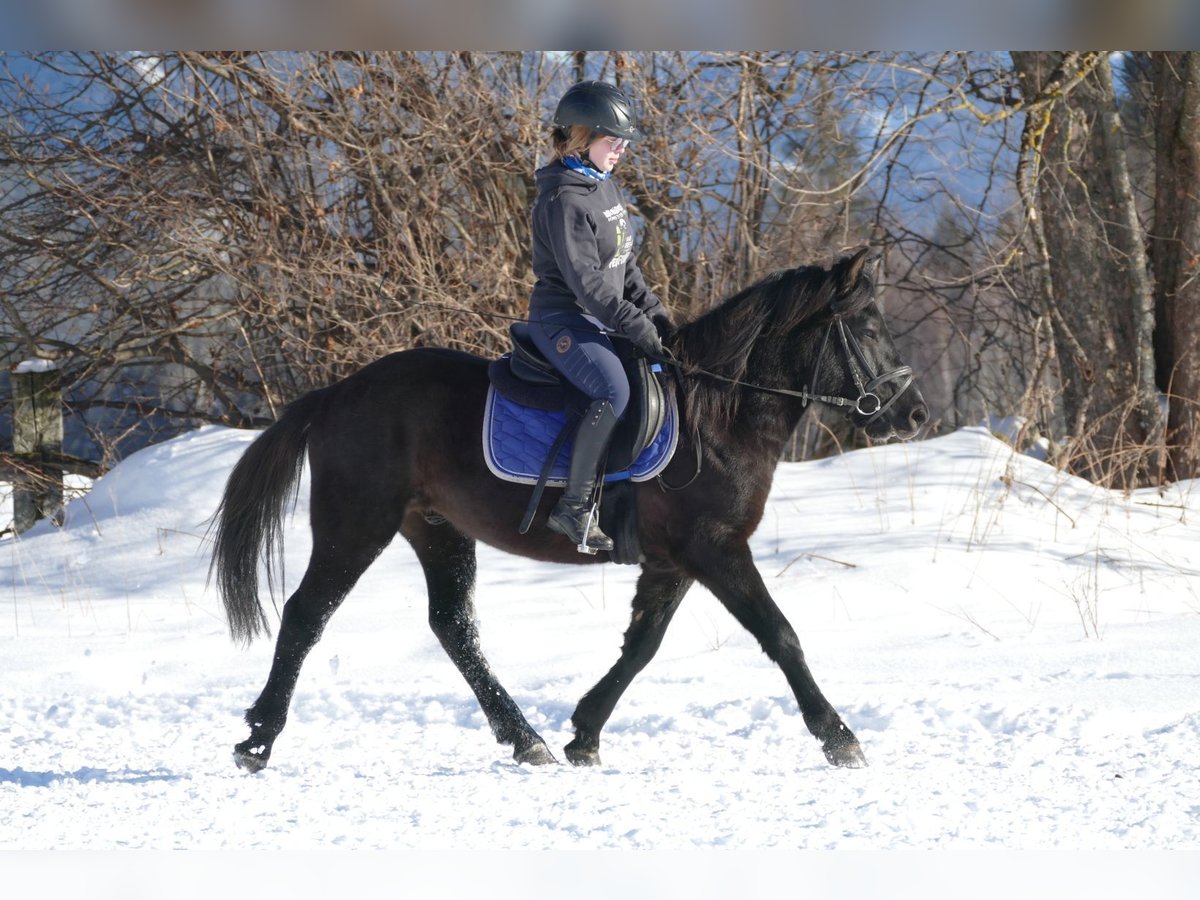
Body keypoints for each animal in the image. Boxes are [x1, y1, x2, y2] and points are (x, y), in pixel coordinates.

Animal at [213, 250, 926, 772]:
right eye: (868, 328)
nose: (915, 415)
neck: (718, 416)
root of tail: (337, 393)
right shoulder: (715, 548)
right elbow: (780, 635)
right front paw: (840, 738)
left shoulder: (674, 561)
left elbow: (642, 645)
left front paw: (584, 733)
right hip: (357, 525)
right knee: (307, 615)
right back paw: (258, 740)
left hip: (437, 530)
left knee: (453, 627)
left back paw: (526, 740)